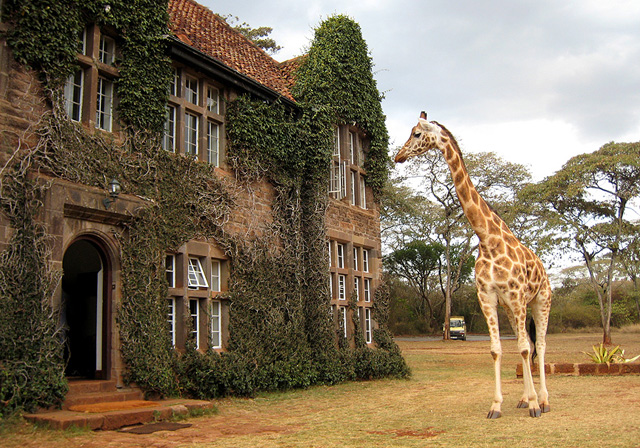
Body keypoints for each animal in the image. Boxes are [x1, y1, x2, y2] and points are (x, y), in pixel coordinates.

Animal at [395, 112, 551, 419]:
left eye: (416, 134)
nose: (398, 155)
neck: (487, 239)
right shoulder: (488, 296)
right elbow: (497, 349)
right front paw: (497, 405)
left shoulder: (517, 296)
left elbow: (525, 348)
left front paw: (534, 405)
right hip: (512, 308)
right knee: (526, 344)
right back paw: (524, 398)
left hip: (540, 300)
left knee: (539, 345)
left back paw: (544, 400)